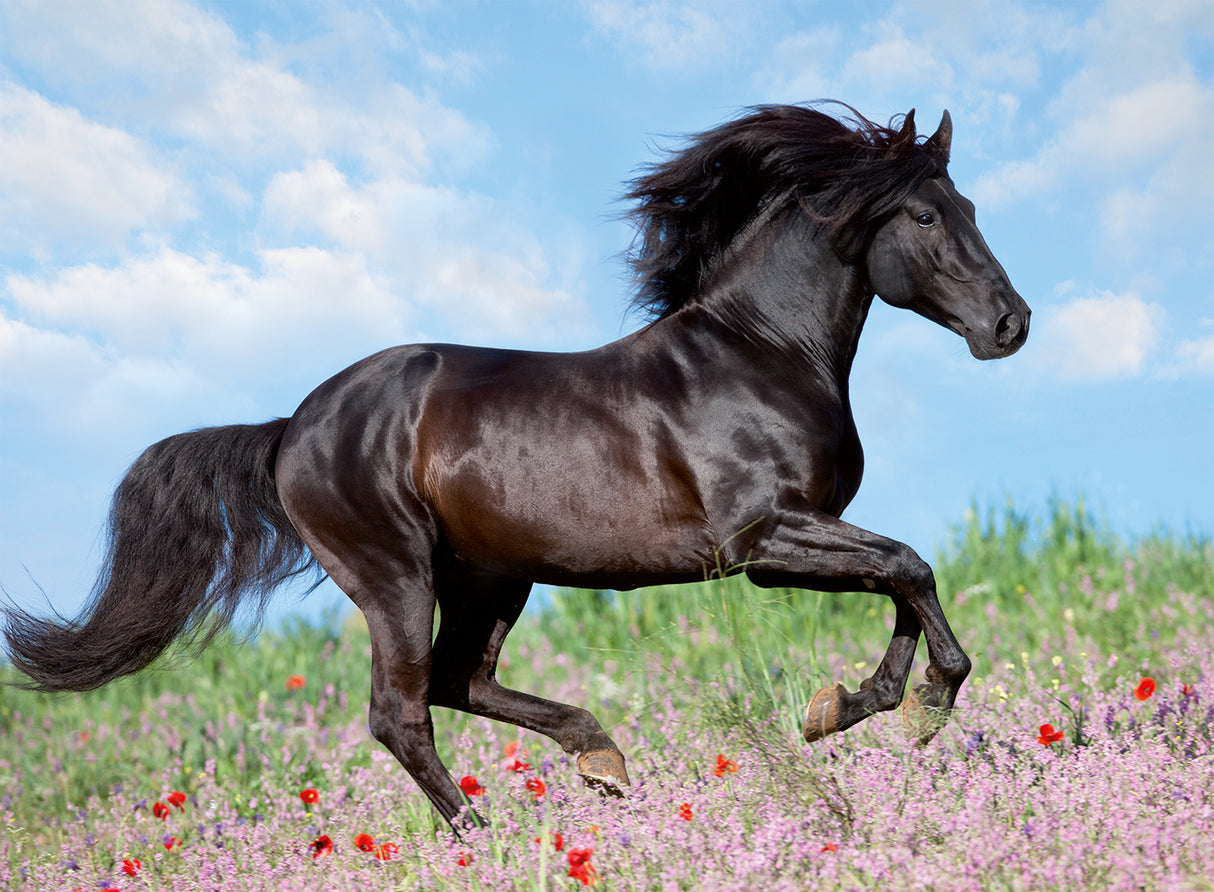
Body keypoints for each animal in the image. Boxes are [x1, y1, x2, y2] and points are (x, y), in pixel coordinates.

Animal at [4, 103, 1029, 827]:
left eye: (973, 208)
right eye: (927, 214)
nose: (1010, 324)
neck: (761, 351)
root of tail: (291, 428)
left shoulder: (802, 535)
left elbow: (900, 578)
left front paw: (851, 705)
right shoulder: (761, 541)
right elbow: (909, 568)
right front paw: (921, 704)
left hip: (493, 576)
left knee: (459, 681)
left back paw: (601, 760)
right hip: (396, 575)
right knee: (402, 710)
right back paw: (480, 835)